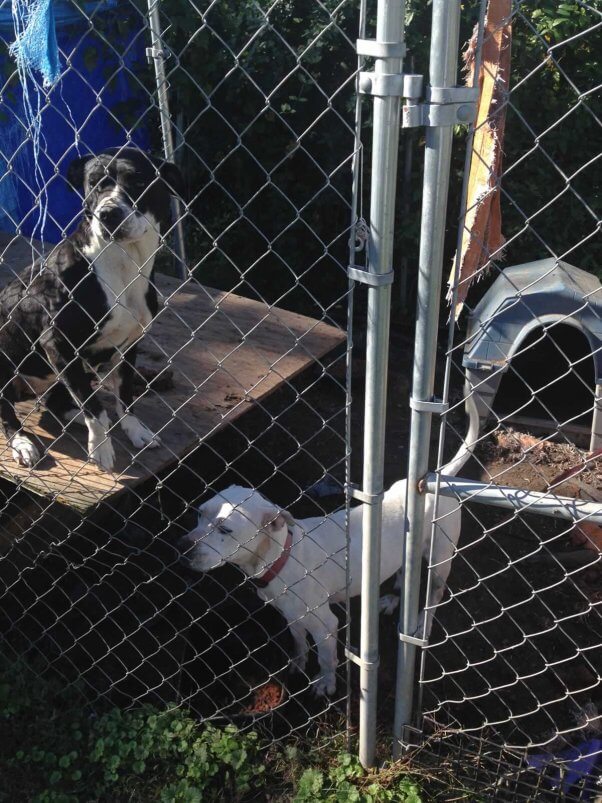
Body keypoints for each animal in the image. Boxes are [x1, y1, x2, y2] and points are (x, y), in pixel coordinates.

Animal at [0, 147, 184, 472]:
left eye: (138, 181)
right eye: (95, 184)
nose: (108, 213)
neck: (124, 264)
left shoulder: (128, 346)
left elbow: (124, 396)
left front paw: (134, 430)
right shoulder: (58, 345)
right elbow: (94, 406)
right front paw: (101, 448)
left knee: (57, 402)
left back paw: (72, 415)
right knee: (7, 411)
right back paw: (22, 442)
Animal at [180, 398, 476, 696]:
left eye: (225, 530)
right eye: (199, 513)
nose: (182, 547)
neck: (281, 558)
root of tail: (438, 478)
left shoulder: (324, 625)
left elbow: (325, 658)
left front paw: (326, 683)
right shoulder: (292, 616)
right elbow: (299, 643)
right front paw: (298, 665)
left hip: (440, 560)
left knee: (434, 595)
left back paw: (421, 626)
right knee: (404, 576)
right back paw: (391, 599)